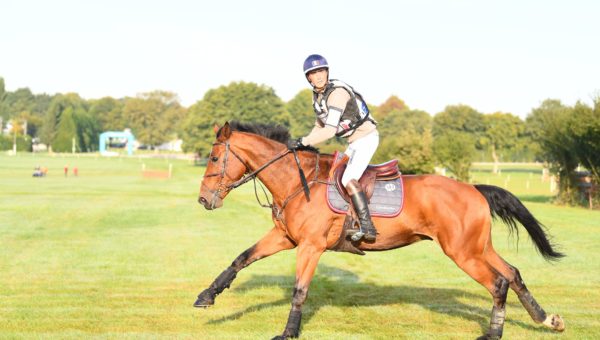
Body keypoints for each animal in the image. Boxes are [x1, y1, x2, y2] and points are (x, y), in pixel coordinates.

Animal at [195, 122, 564, 340]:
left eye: (213, 158)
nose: (203, 200)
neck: (297, 182)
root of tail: (473, 188)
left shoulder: (310, 246)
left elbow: (299, 290)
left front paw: (288, 333)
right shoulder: (285, 238)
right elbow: (242, 258)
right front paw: (207, 296)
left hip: (462, 252)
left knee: (499, 282)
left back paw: (493, 333)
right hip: (477, 247)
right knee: (513, 273)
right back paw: (546, 319)